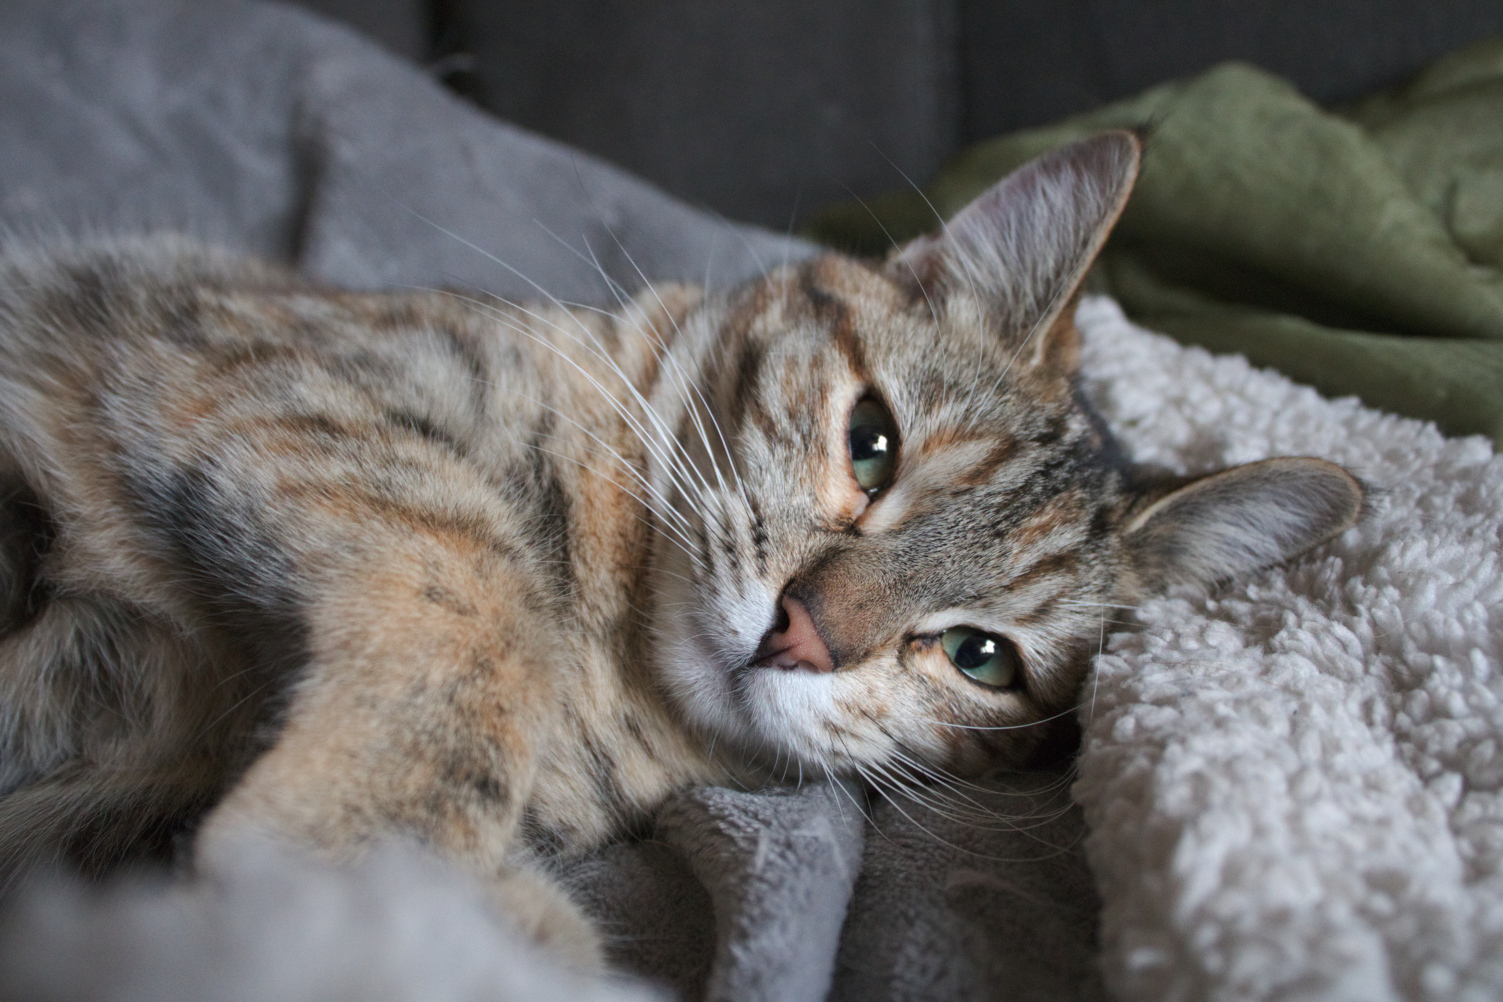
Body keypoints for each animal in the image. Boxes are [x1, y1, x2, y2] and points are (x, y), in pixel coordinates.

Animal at [0, 132, 1370, 961]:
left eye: (982, 657)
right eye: (871, 444)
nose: (803, 632)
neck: (611, 677)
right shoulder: (276, 375)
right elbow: (475, 590)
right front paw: (366, 866)